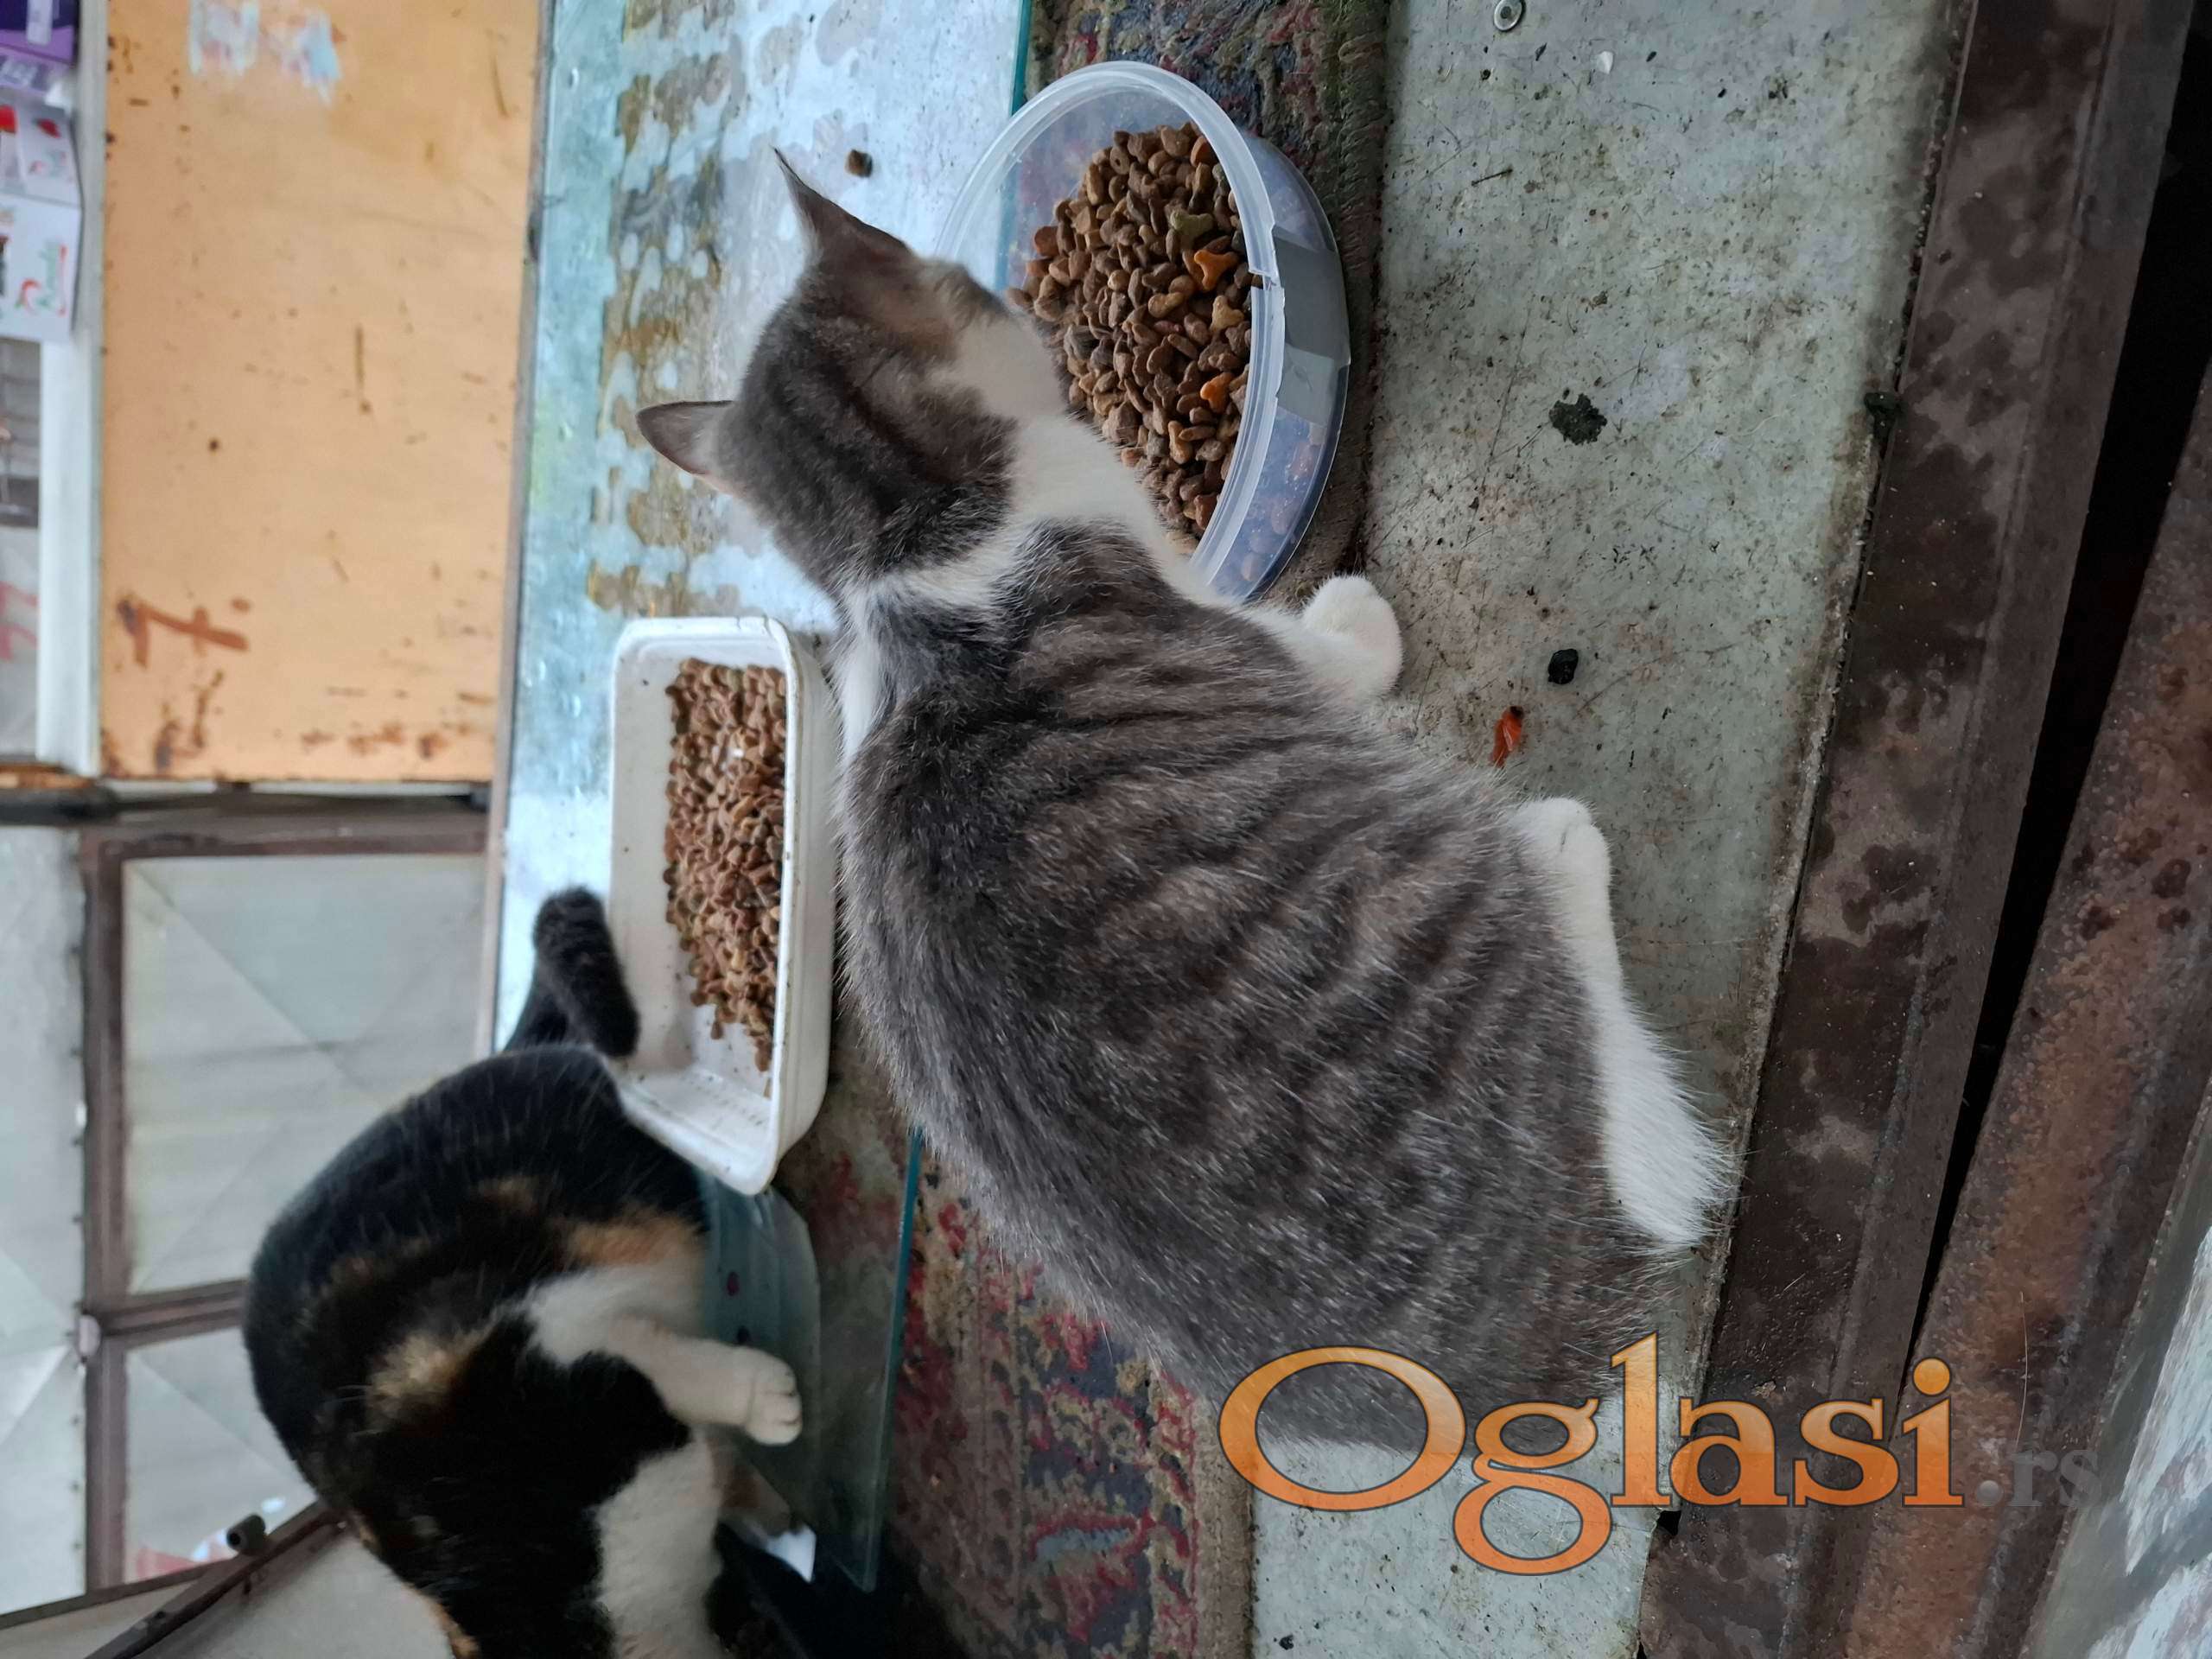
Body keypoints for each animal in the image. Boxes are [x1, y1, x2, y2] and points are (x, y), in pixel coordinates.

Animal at [244, 890, 800, 1659]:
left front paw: (767, 1405)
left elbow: (675, 1364)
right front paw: (768, 1478)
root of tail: (494, 1056)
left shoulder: (534, 1339)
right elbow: (687, 1393)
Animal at [636, 160, 1728, 1443]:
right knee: (1646, 1135)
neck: (902, 552)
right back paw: (1563, 851)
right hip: (1477, 915)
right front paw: (1354, 616)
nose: (1034, 321)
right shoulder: (1221, 621)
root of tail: (1526, 1368)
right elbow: (1327, 654)